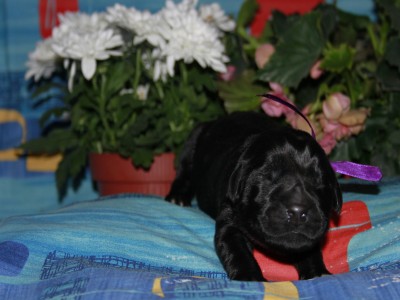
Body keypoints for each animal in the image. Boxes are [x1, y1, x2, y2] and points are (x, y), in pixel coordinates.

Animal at [166, 112, 340, 282]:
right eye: (268, 177)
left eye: (318, 181)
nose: (298, 212)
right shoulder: (230, 218)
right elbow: (238, 251)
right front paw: (250, 277)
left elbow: (310, 250)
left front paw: (318, 273)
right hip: (192, 142)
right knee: (184, 172)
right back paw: (178, 197)